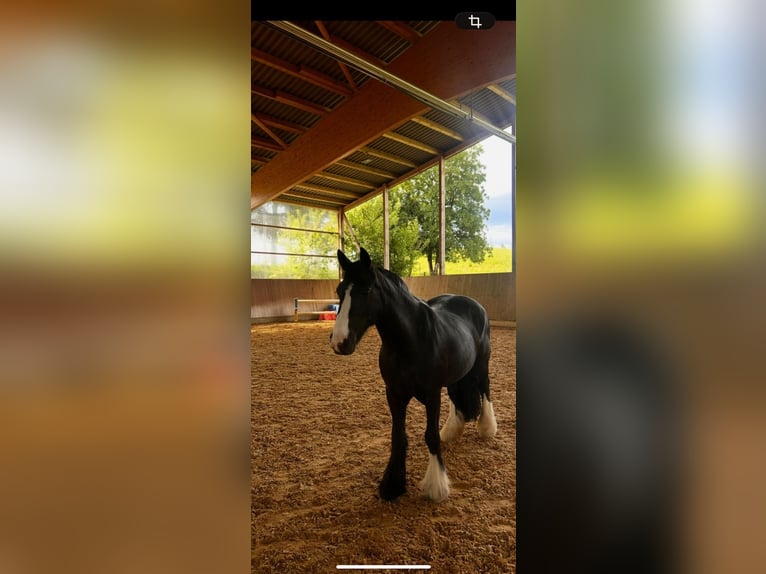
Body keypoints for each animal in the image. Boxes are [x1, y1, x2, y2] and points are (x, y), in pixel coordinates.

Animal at [330, 247, 497, 502]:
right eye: (340, 291)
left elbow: (430, 436)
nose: (339, 342)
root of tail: (473, 304)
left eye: (366, 291)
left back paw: (487, 428)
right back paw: (452, 430)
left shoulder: (431, 394)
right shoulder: (394, 394)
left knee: (485, 389)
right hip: (456, 373)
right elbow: (398, 437)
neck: (409, 341)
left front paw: (436, 486)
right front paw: (392, 485)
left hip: (481, 364)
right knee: (456, 396)